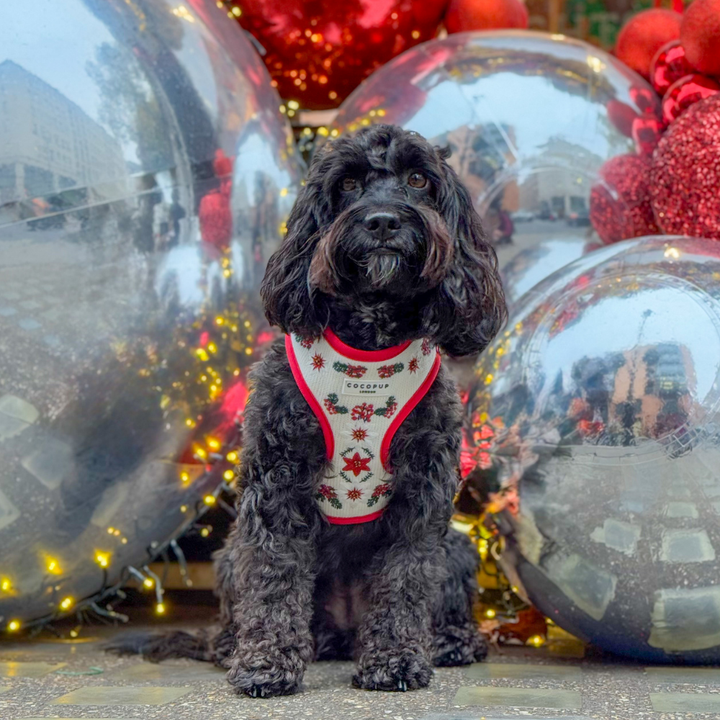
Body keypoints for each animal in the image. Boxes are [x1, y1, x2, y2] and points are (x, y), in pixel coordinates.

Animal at [111, 124, 506, 696]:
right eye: (348, 184)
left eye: (418, 179)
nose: (382, 220)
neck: (368, 341)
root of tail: (341, 632)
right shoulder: (277, 476)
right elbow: (274, 576)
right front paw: (266, 663)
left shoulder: (424, 486)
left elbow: (406, 576)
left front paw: (395, 660)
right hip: (229, 556)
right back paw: (233, 647)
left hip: (456, 547)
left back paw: (450, 643)